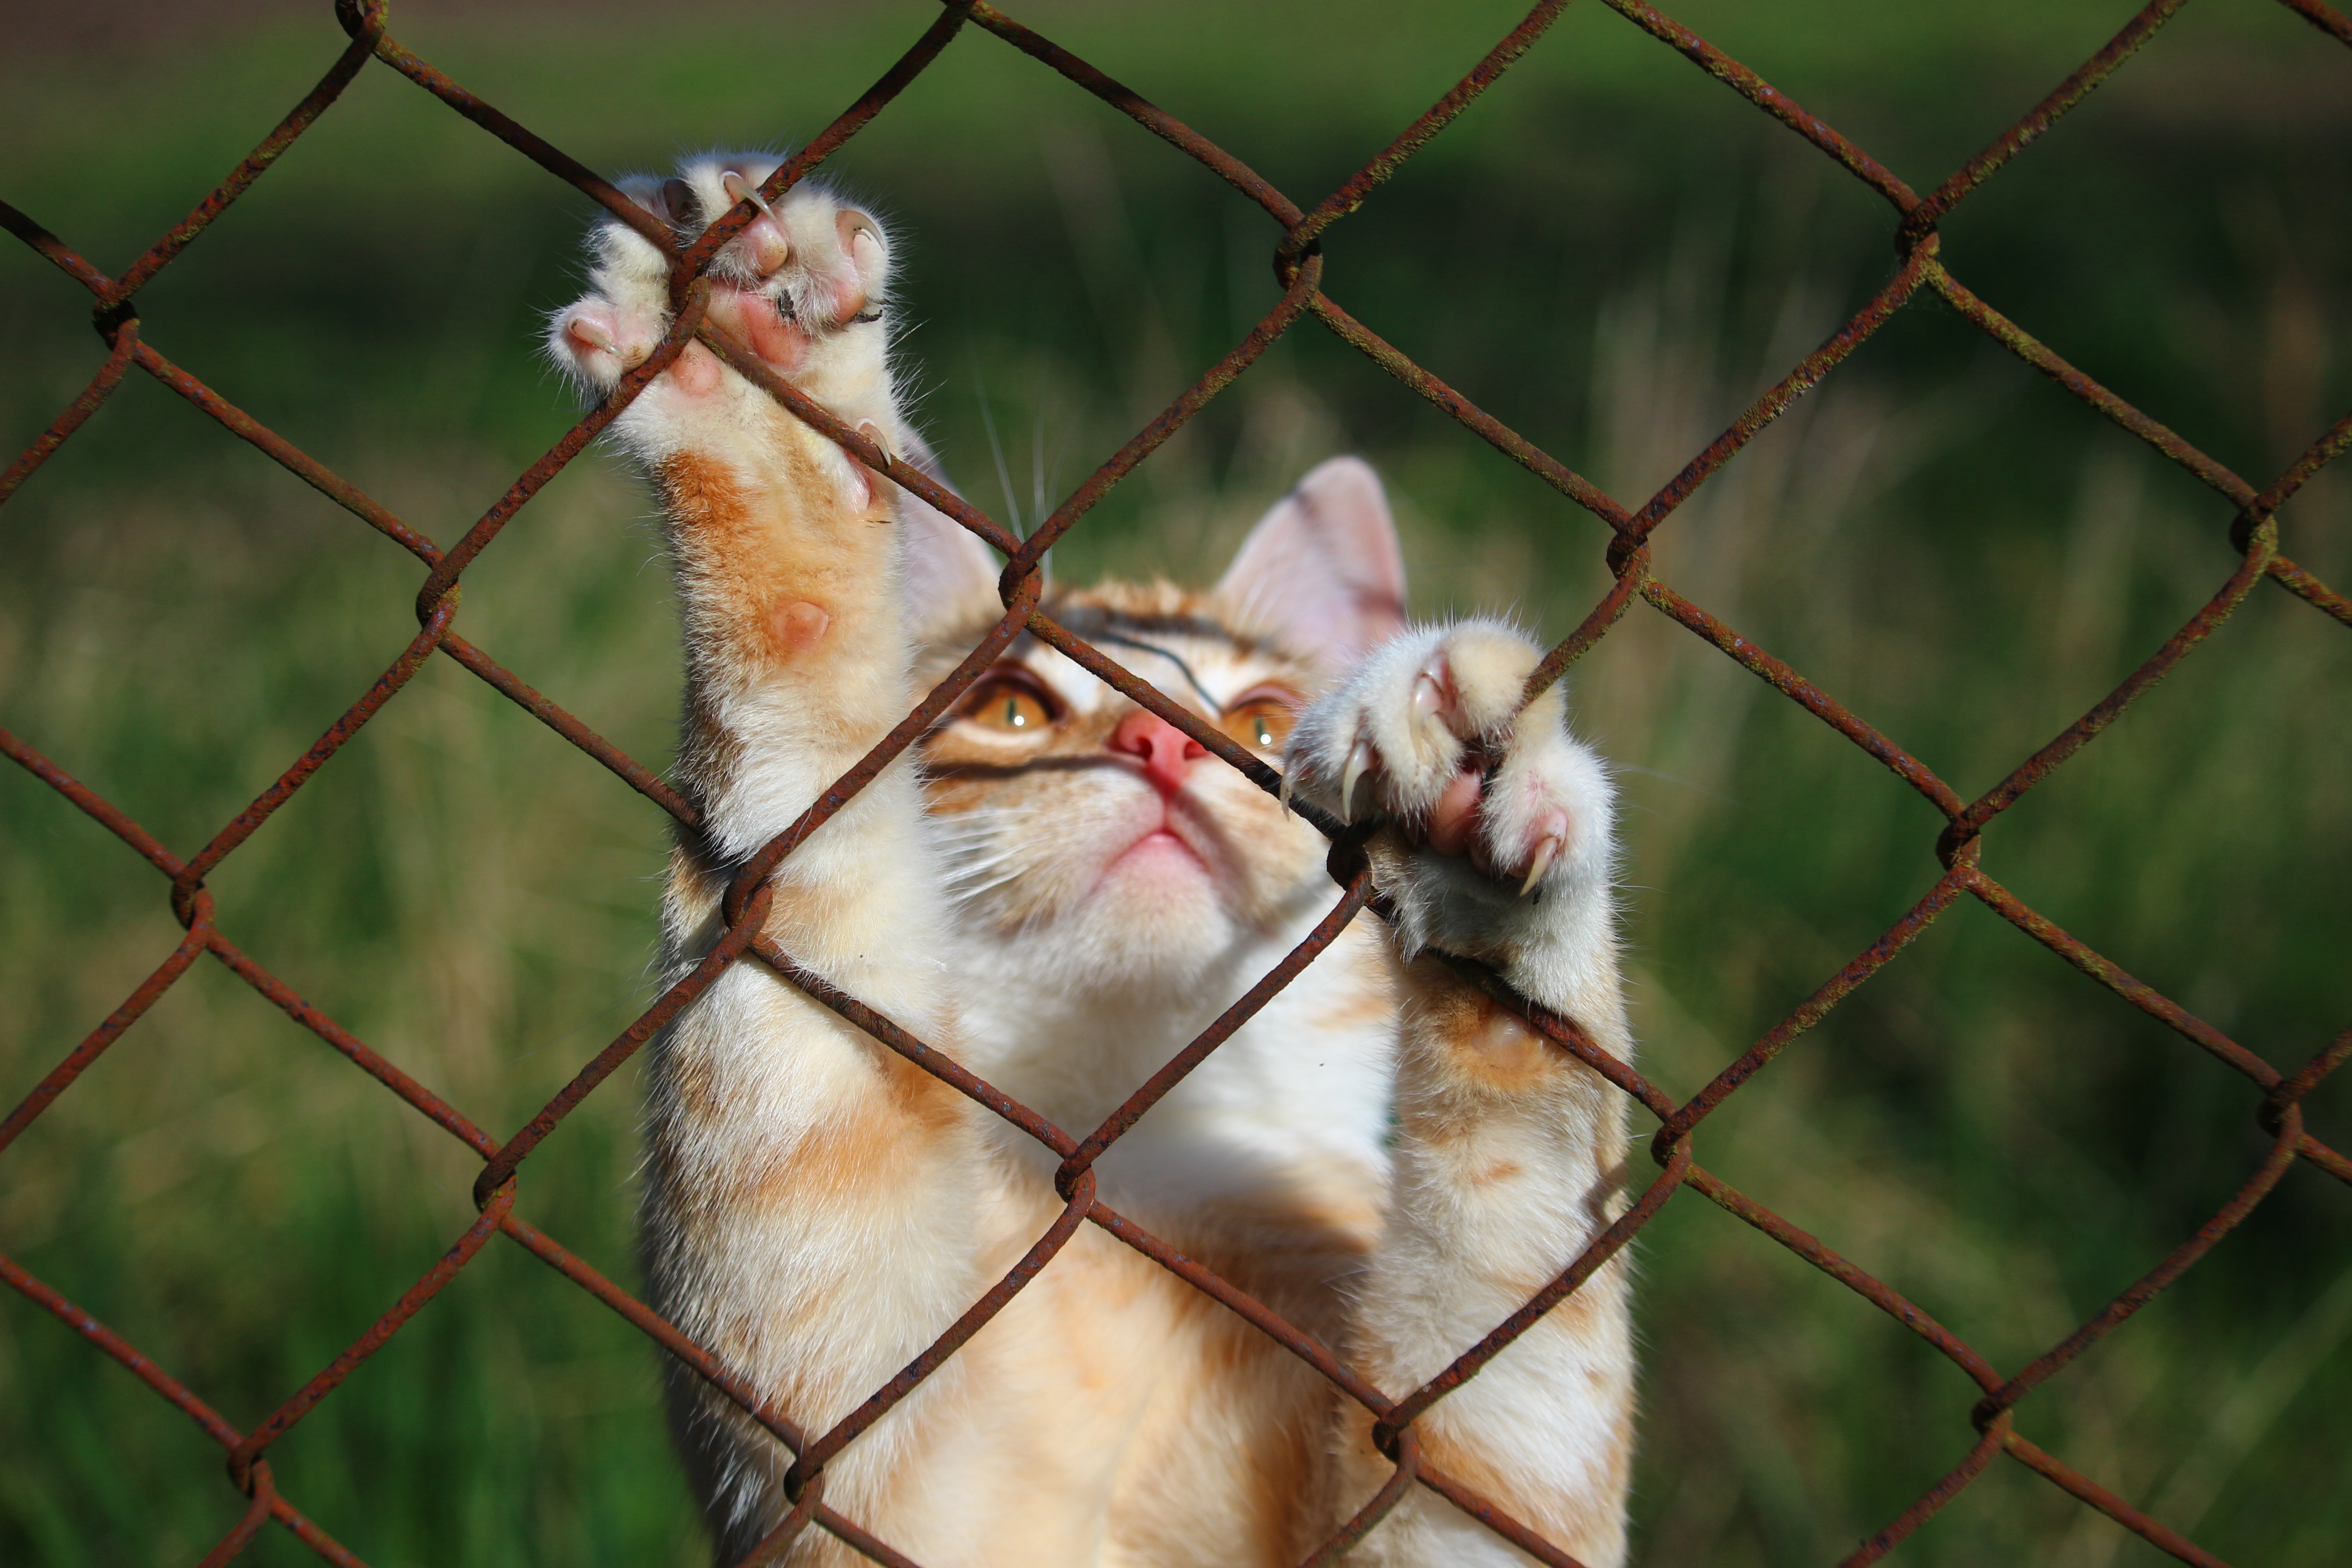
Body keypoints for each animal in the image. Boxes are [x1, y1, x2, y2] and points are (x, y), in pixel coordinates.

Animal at [550, 160, 1637, 1568]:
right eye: (1010, 708)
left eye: (1263, 729)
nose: (1161, 742)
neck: (1137, 1143)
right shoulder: (843, 1454)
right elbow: (798, 1005)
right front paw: (764, 414)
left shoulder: (1475, 1509)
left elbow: (1518, 1271)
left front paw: (1488, 870)